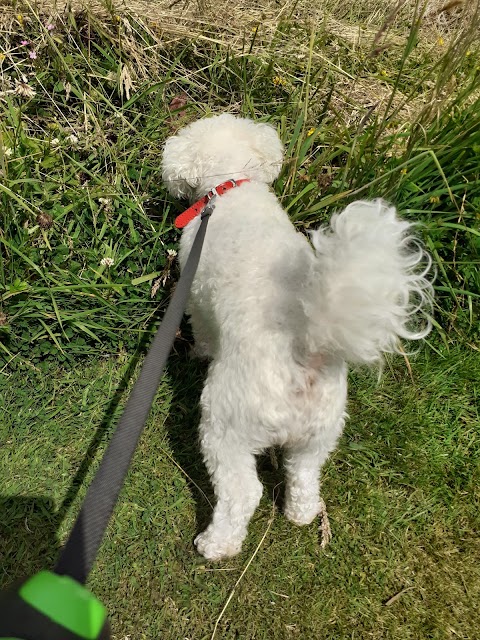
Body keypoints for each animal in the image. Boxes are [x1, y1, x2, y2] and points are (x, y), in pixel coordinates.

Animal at [162, 114, 436, 560]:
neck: (234, 184)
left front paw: (197, 353)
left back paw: (216, 544)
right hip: (321, 432)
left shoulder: (196, 292)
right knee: (305, 474)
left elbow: (201, 328)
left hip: (226, 424)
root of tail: (306, 349)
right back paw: (300, 514)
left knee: (243, 491)